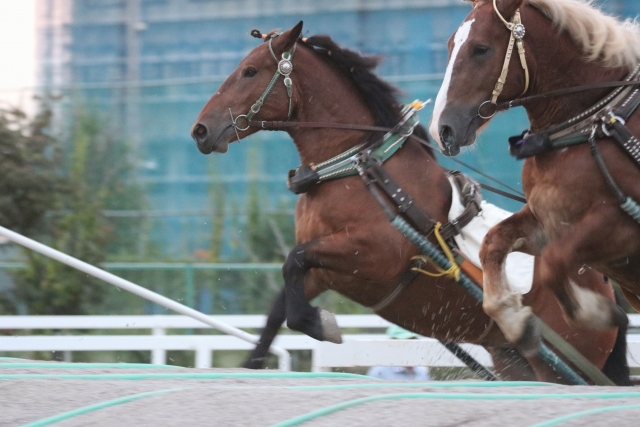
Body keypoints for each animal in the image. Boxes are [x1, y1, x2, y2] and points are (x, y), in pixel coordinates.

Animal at [192, 20, 628, 384]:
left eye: (250, 71)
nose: (201, 130)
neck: (357, 168)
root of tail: (605, 286)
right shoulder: (329, 274)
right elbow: (280, 305)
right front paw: (254, 363)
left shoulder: (373, 256)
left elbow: (294, 261)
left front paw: (320, 325)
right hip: (514, 358)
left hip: (561, 362)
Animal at [428, 0, 640, 354]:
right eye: (449, 45)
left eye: (481, 49)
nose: (441, 129)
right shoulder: (547, 223)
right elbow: (493, 243)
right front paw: (513, 319)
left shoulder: (623, 226)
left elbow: (554, 262)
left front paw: (596, 311)